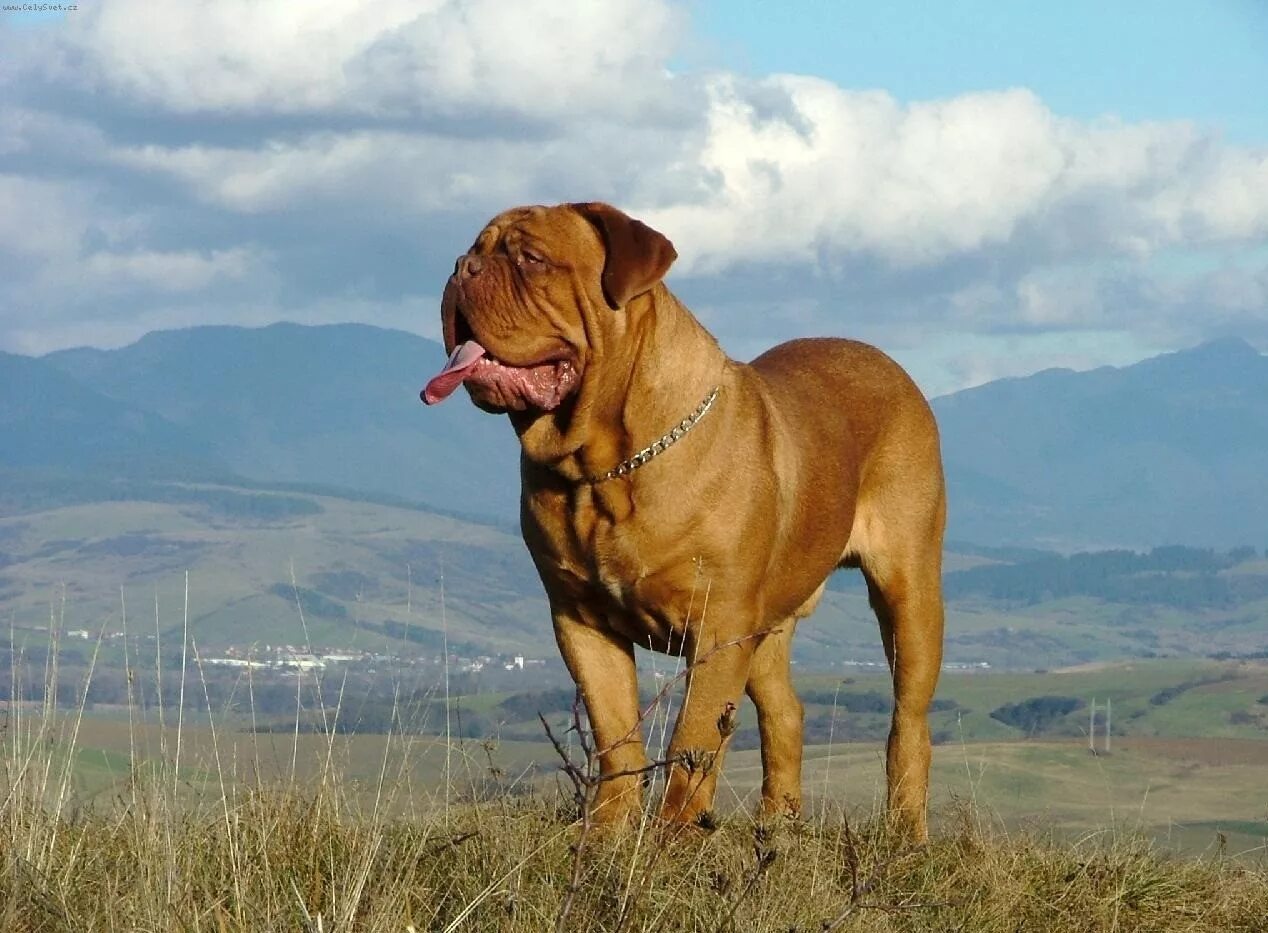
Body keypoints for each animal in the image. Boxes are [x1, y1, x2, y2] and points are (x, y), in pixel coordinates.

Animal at [420, 200, 948, 841]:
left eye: (531, 259)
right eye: (474, 250)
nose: (461, 268)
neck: (605, 467)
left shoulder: (717, 627)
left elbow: (693, 743)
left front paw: (673, 842)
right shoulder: (580, 622)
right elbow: (616, 739)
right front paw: (607, 835)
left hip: (908, 592)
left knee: (908, 720)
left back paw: (905, 832)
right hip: (766, 624)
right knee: (784, 713)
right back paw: (777, 827)